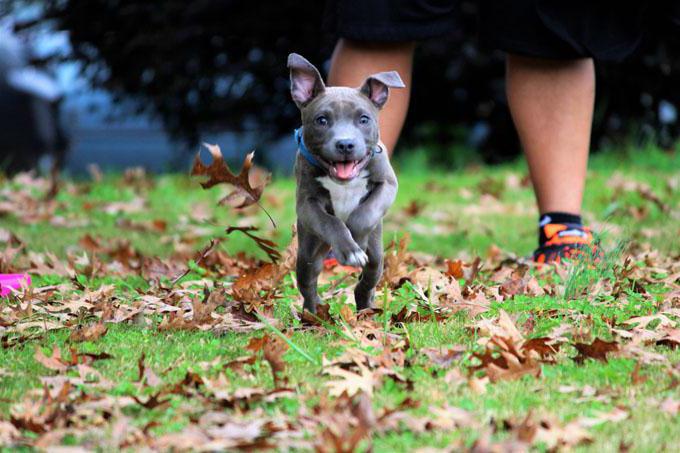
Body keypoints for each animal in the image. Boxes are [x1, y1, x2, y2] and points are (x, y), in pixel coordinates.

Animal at [286, 53, 404, 312]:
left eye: (364, 119)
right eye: (321, 120)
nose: (345, 144)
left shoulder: (387, 185)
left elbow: (363, 215)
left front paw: (355, 240)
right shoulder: (307, 204)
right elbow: (331, 222)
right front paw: (349, 248)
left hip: (376, 252)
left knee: (369, 276)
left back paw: (365, 305)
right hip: (308, 250)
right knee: (308, 282)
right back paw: (313, 313)